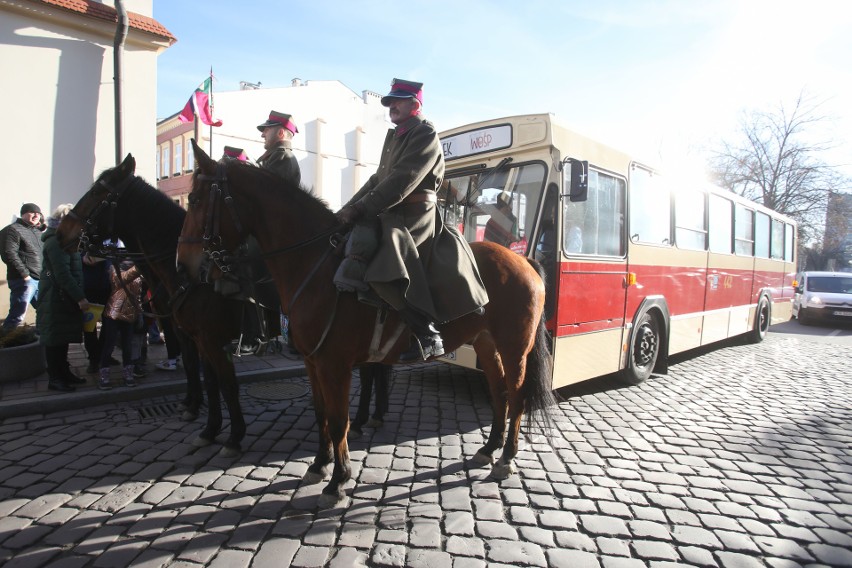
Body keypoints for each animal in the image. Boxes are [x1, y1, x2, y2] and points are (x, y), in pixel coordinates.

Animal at [57, 155, 248, 458]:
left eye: (98, 190)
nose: (60, 233)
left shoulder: (209, 338)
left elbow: (225, 383)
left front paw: (233, 434)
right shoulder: (194, 335)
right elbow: (205, 376)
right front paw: (204, 421)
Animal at [176, 140, 556, 508]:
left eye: (195, 200)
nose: (184, 265)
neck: (315, 266)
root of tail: (524, 260)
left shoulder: (335, 364)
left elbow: (338, 420)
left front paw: (338, 481)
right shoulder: (312, 362)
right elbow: (321, 413)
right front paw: (319, 465)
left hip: (514, 349)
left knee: (517, 396)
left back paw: (506, 458)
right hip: (486, 344)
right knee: (499, 393)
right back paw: (489, 449)